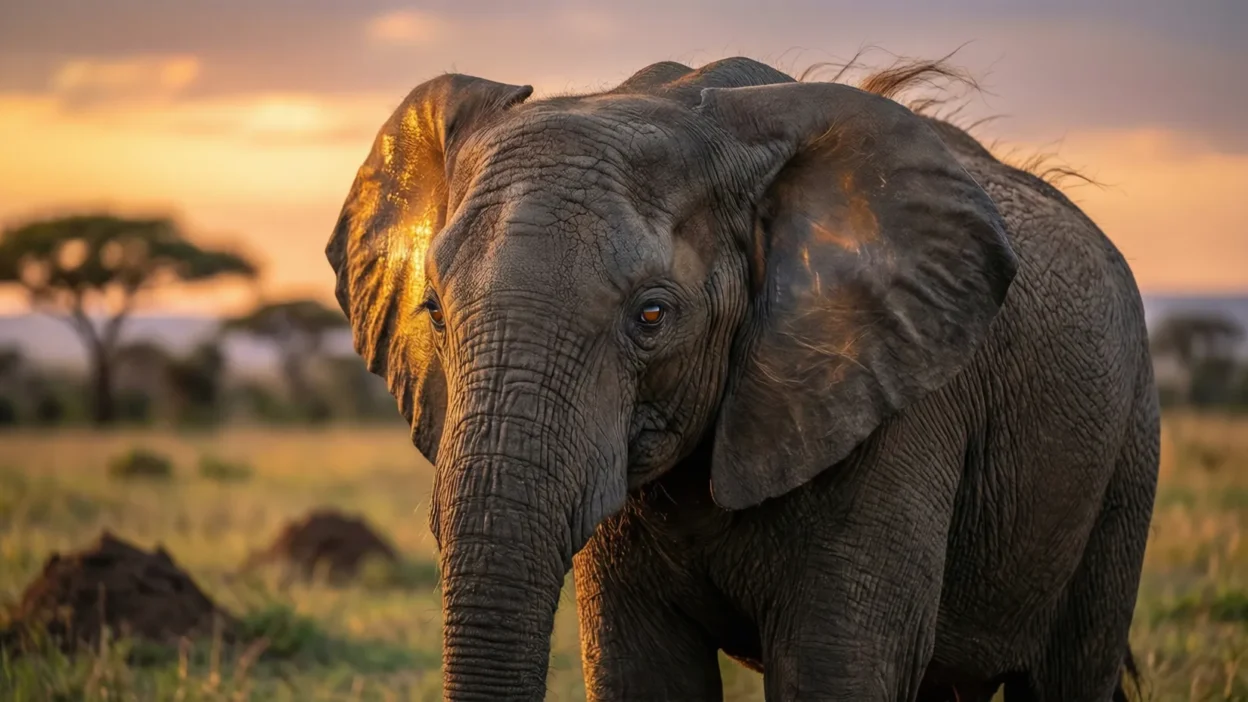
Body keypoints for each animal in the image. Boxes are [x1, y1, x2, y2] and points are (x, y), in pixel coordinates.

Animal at [326, 56, 1160, 701]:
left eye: (653, 316)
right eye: (435, 311)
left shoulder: (898, 405)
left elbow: (839, 667)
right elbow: (642, 674)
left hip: (1126, 451)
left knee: (1068, 672)